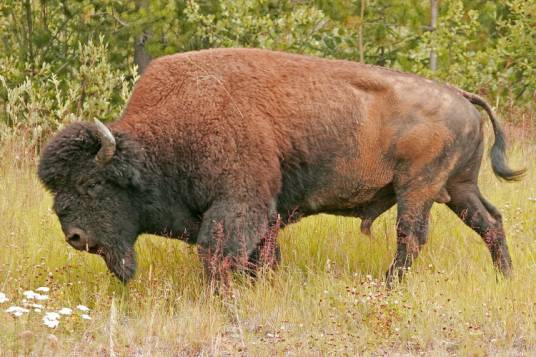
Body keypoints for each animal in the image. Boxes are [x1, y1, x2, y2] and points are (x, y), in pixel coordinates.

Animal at [37, 48, 524, 284]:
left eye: (93, 185)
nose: (74, 236)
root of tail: (460, 94)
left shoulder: (239, 205)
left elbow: (218, 255)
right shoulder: (265, 213)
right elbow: (262, 256)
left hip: (418, 189)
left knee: (411, 237)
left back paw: (388, 285)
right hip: (457, 188)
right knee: (490, 222)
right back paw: (505, 276)